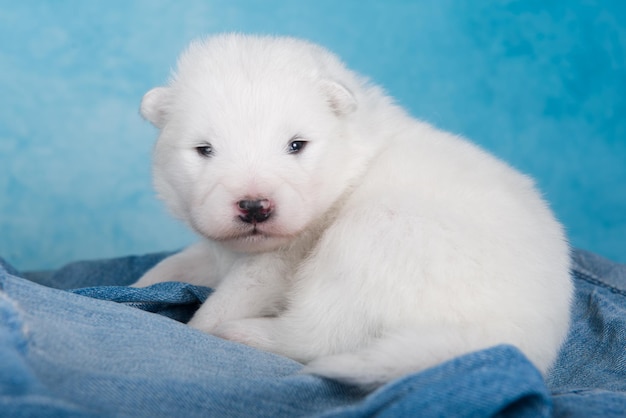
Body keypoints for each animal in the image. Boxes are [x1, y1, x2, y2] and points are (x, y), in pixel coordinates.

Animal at [135, 33, 572, 388]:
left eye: (296, 145)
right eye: (204, 149)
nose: (255, 207)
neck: (348, 169)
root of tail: (503, 336)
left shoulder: (274, 263)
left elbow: (226, 299)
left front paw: (197, 325)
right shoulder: (220, 248)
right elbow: (182, 261)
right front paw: (143, 285)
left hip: (368, 241)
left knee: (315, 334)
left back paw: (240, 333)